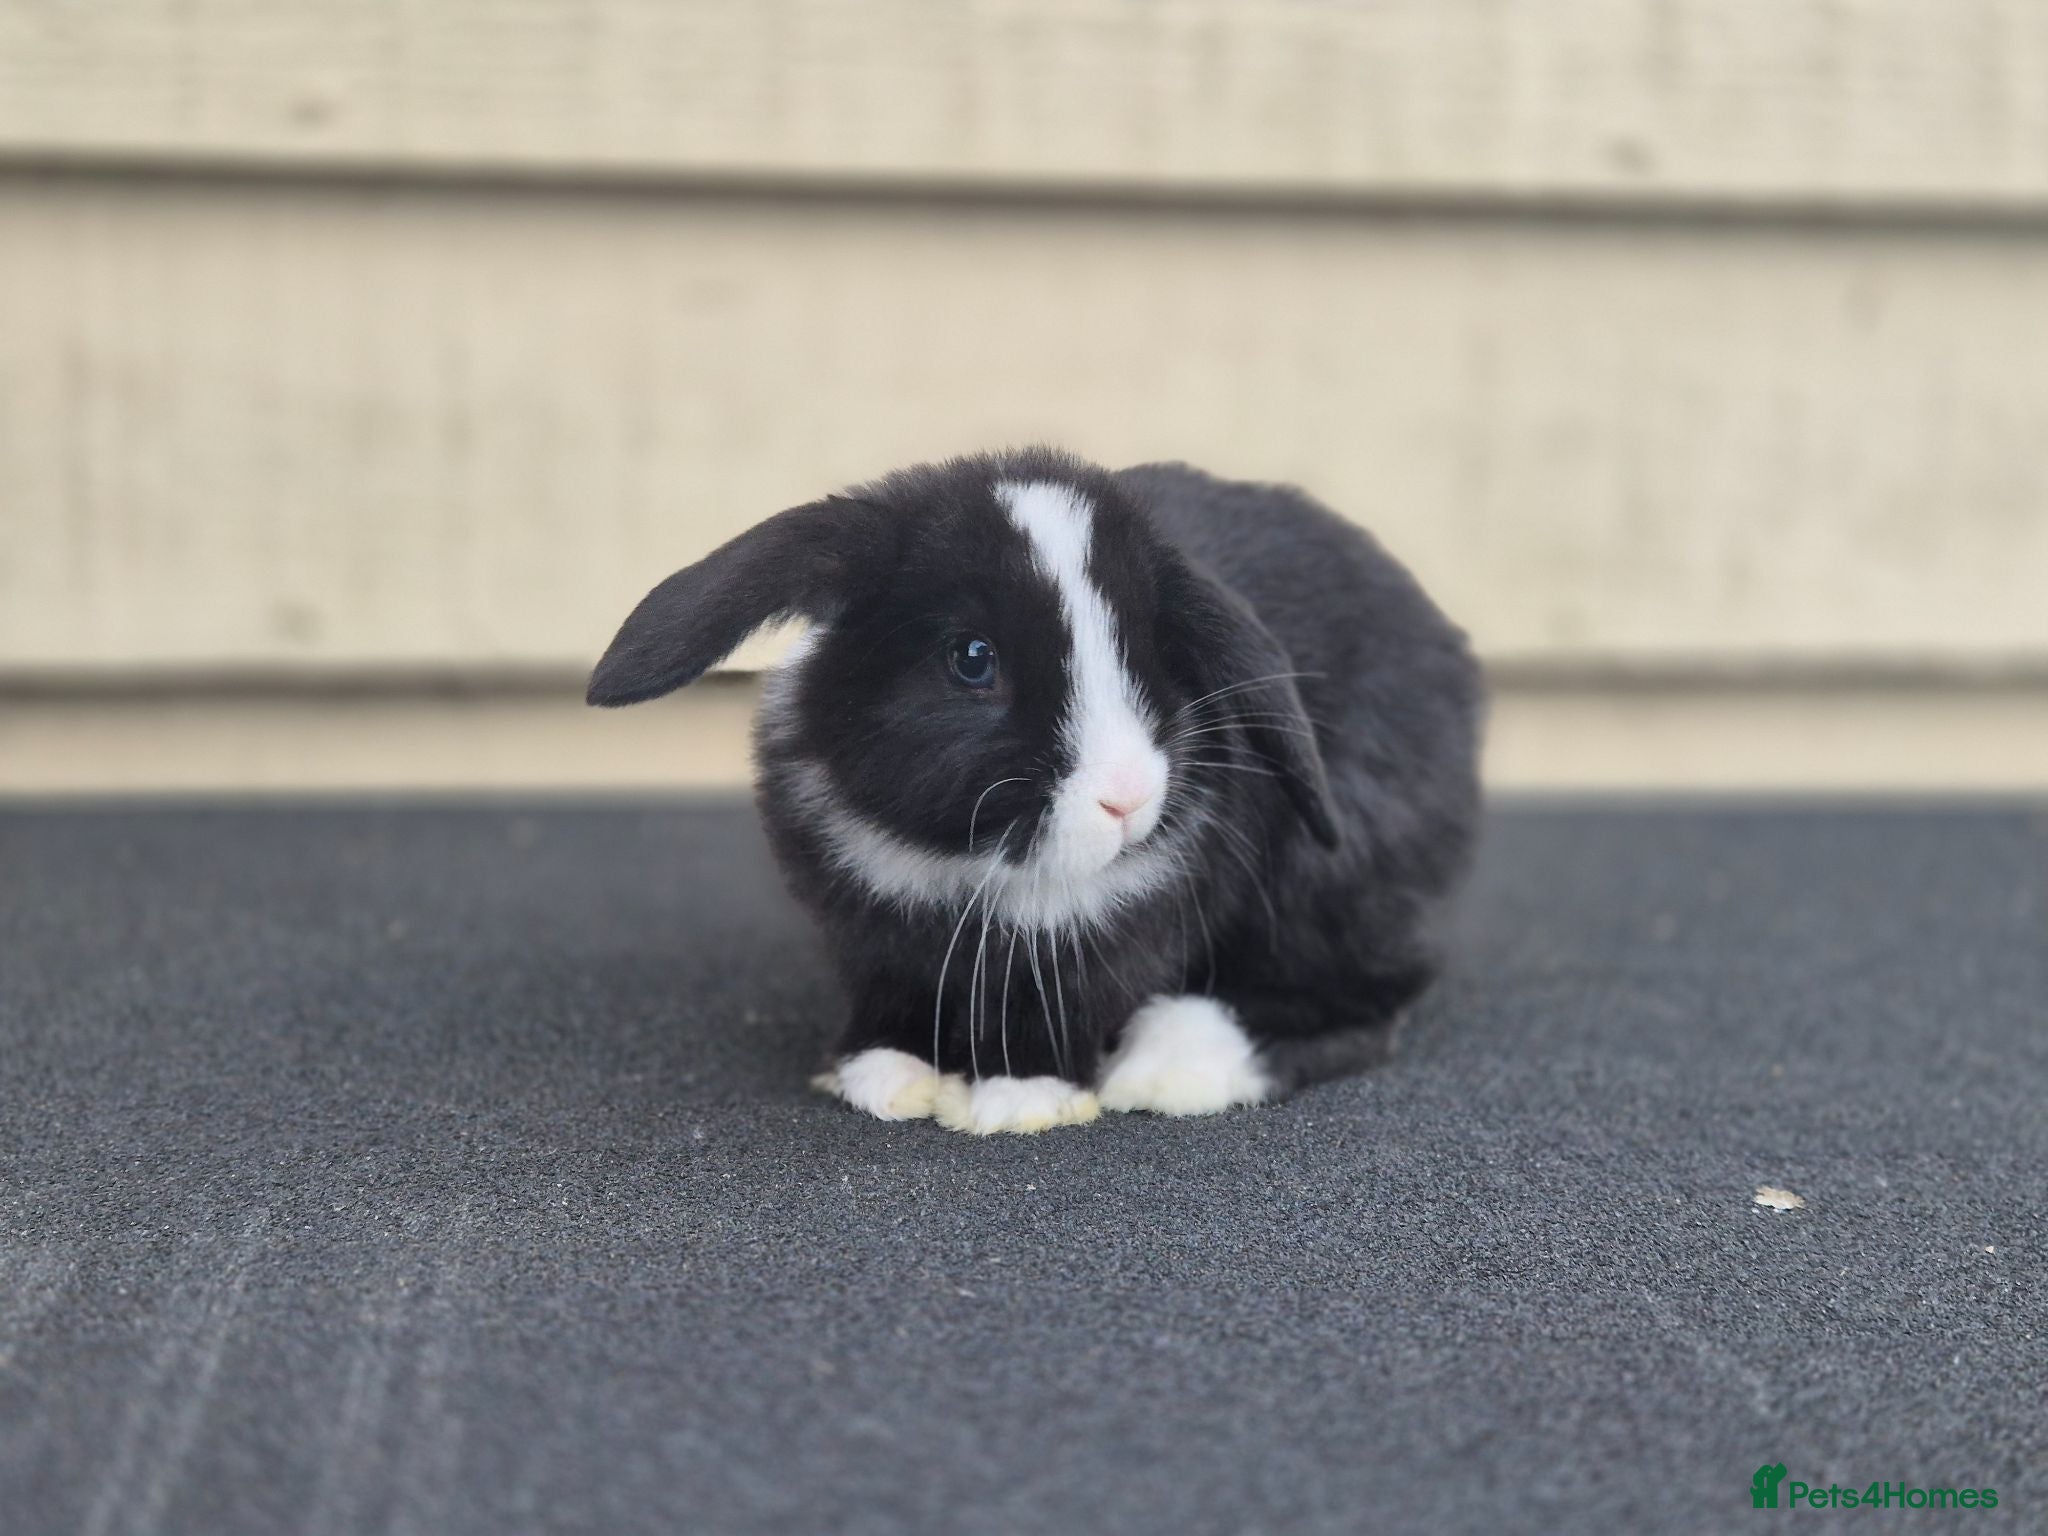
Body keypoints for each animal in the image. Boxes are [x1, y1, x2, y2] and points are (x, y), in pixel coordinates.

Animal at [588, 448, 1482, 1134]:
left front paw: (1022, 1101)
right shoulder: (872, 933)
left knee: (1364, 1000)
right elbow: (893, 998)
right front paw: (887, 1078)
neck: (969, 860)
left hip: (1328, 877)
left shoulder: (1102, 934)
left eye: (1154, 654)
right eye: (972, 658)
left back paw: (1170, 1068)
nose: (1130, 798)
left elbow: (1058, 1010)